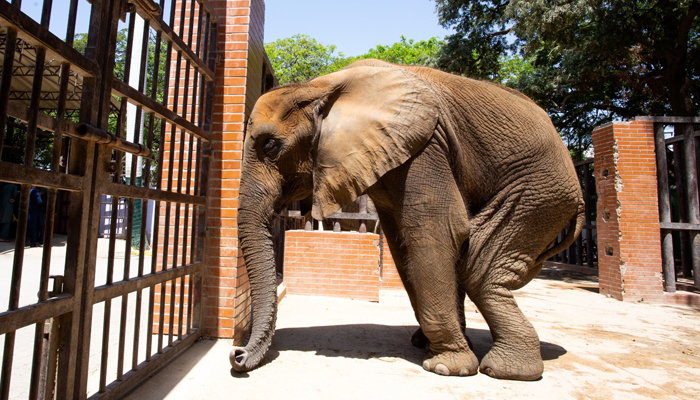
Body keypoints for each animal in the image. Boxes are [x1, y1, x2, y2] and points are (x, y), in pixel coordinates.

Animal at [232, 59, 584, 382]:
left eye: (270, 146)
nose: (237, 356)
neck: (320, 87)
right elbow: (401, 241)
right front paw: (436, 350)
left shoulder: (426, 147)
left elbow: (435, 229)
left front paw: (446, 368)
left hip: (539, 193)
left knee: (479, 268)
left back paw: (506, 371)